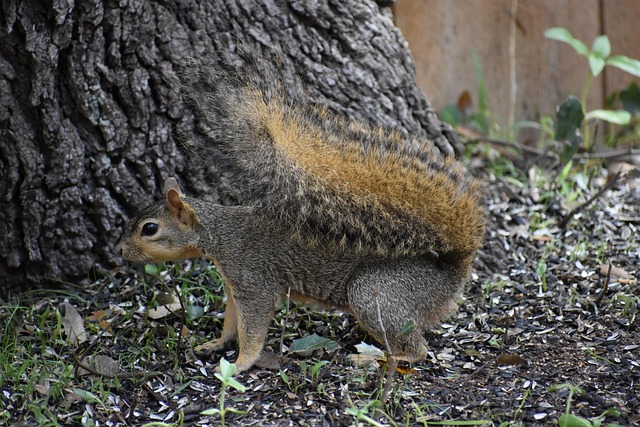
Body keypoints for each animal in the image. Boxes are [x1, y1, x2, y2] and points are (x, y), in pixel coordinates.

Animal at [115, 49, 486, 373]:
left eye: (149, 228)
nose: (119, 250)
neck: (219, 234)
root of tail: (450, 274)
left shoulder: (253, 280)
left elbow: (253, 326)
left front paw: (240, 364)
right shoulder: (235, 286)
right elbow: (232, 320)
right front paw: (217, 343)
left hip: (375, 293)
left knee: (416, 349)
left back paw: (375, 358)